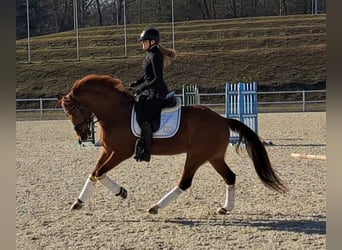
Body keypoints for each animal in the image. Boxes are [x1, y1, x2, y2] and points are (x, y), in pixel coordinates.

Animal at [60, 73, 288, 215]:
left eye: (74, 110)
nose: (82, 136)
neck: (116, 112)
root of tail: (222, 120)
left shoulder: (121, 152)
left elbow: (100, 173)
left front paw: (121, 192)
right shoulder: (108, 150)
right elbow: (95, 173)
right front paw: (80, 201)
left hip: (196, 156)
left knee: (185, 182)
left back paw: (155, 207)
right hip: (213, 157)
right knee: (230, 177)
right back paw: (225, 208)